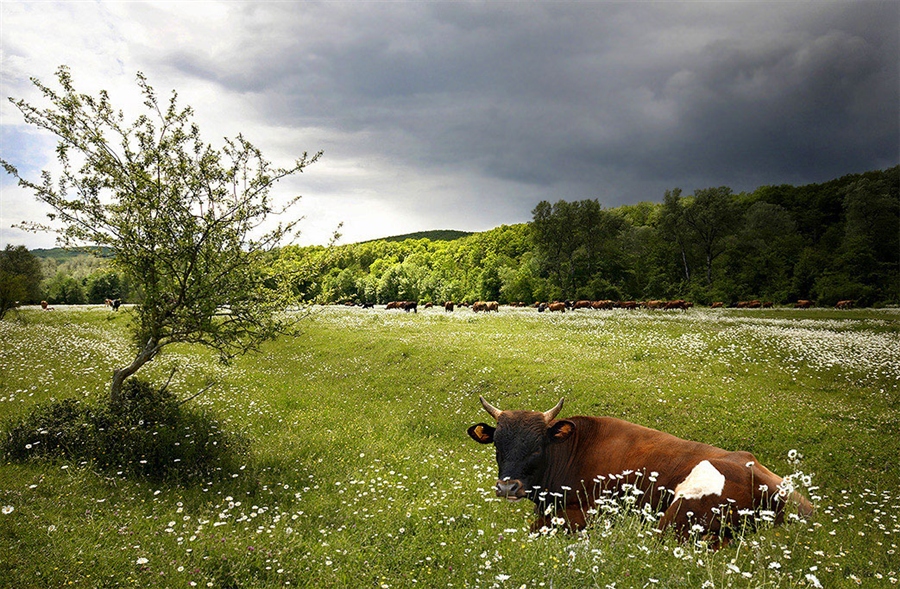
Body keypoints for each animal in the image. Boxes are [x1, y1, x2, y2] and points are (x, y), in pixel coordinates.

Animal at [468, 396, 812, 548]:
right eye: (498, 444)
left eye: (538, 446)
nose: (508, 487)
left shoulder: (587, 511)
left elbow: (536, 526)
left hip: (677, 513)